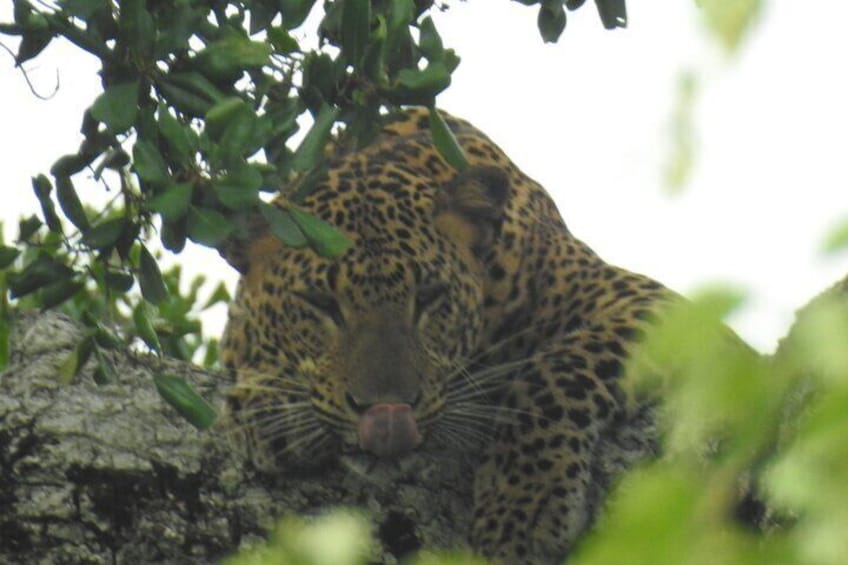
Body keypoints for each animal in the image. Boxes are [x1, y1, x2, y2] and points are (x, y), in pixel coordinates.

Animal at [219, 107, 674, 563]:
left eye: (429, 296)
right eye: (321, 303)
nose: (387, 411)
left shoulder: (641, 300)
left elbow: (558, 373)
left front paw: (523, 502)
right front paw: (269, 407)